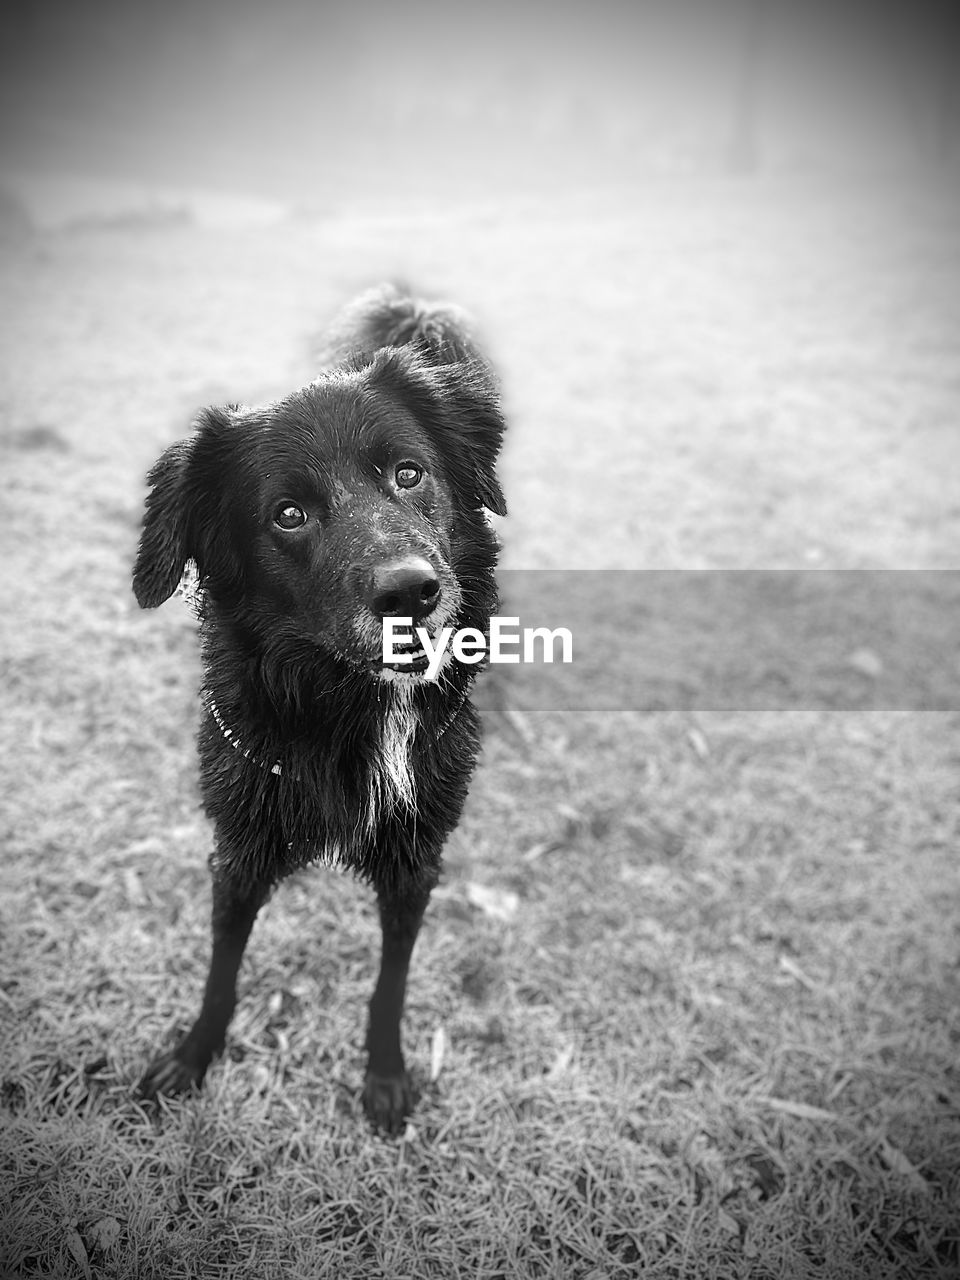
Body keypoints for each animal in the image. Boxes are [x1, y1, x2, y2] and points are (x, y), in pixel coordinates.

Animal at [135, 282, 512, 1131]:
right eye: (288, 515)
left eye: (408, 474)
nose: (411, 592)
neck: (342, 709)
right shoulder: (239, 849)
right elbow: (222, 970)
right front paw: (192, 1056)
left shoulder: (415, 861)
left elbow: (390, 984)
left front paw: (385, 1076)